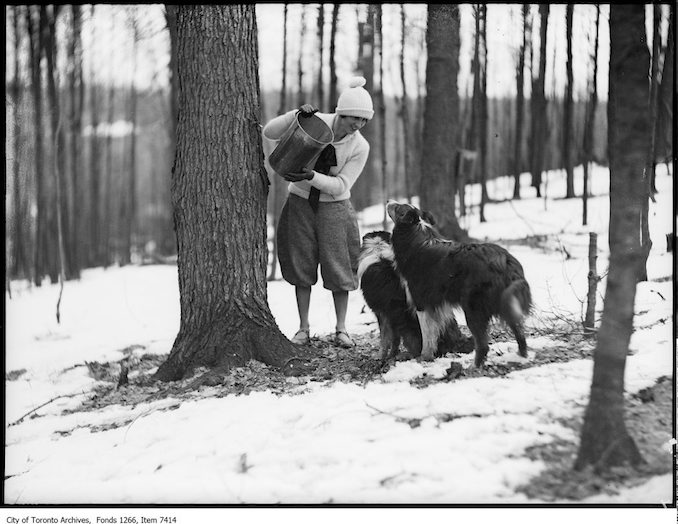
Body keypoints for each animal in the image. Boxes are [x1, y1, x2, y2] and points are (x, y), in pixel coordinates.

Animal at [356, 229, 472, 364]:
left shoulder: (382, 313)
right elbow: (394, 340)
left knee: (418, 348)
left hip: (408, 326)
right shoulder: (390, 315)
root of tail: (456, 342)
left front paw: (381, 356)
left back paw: (407, 355)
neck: (378, 250)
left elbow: (385, 339)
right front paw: (391, 355)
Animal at [386, 201, 532, 368]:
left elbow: (427, 333)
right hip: (502, 302)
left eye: (398, 208)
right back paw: (521, 355)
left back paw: (474, 366)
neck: (414, 234)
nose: (388, 201)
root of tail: (506, 261)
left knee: (483, 343)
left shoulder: (422, 301)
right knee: (518, 329)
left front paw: (424, 356)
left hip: (473, 308)